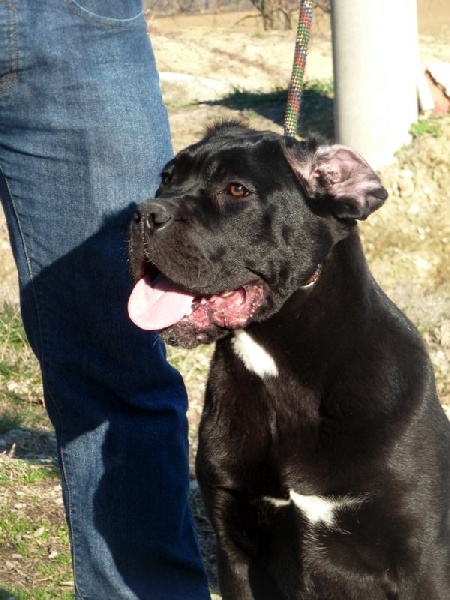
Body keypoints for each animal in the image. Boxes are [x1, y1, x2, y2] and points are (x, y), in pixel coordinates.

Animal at [128, 122, 450, 599]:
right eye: (166, 179)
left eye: (237, 189)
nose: (143, 214)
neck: (280, 371)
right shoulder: (235, 548)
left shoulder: (423, 561)